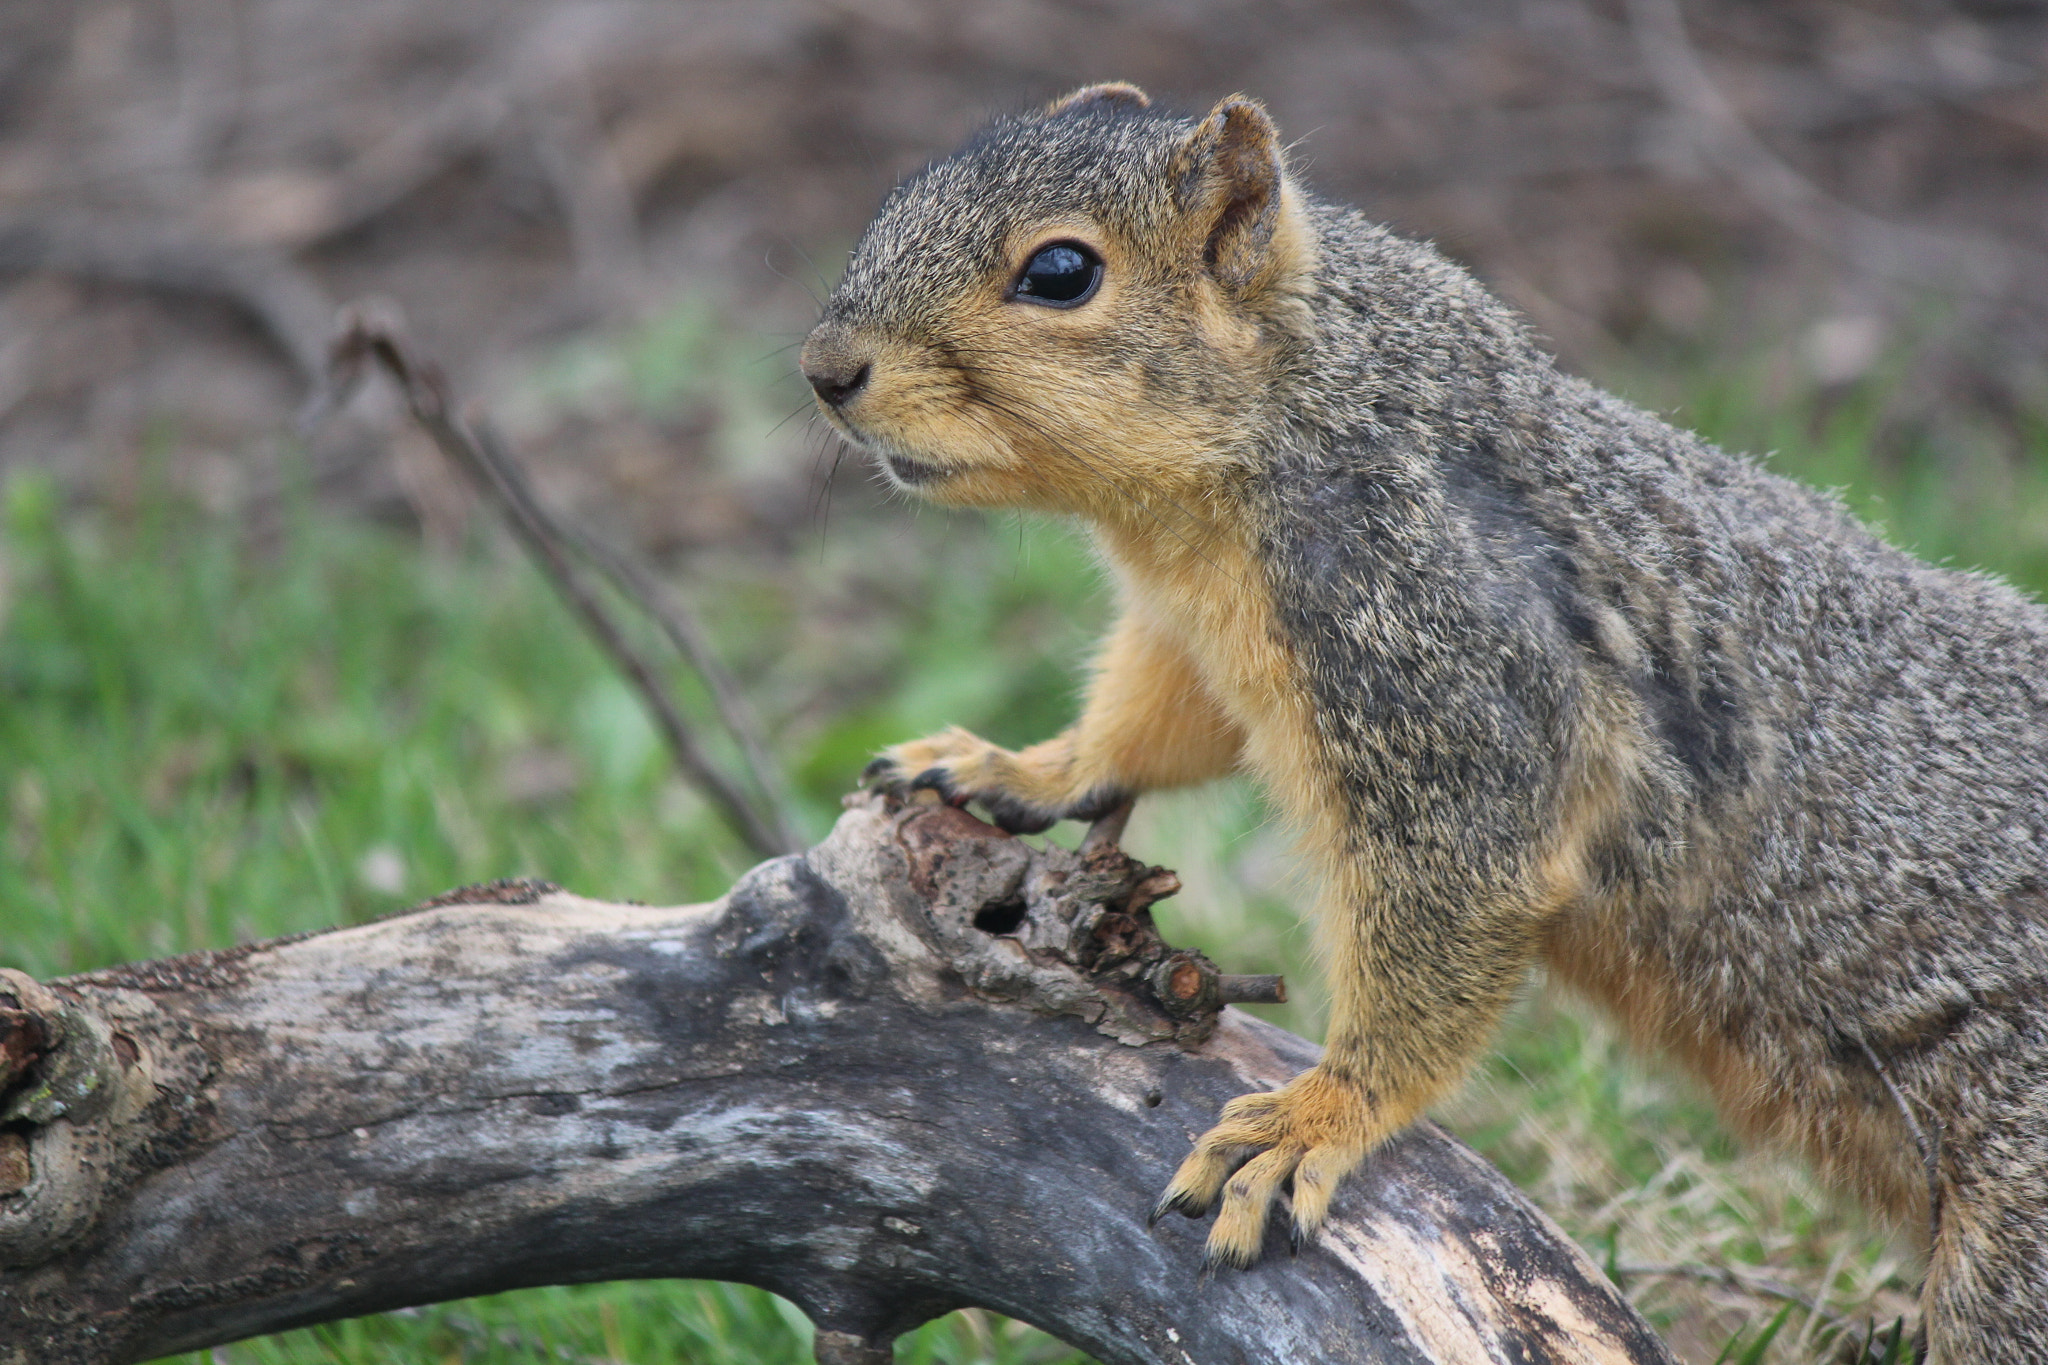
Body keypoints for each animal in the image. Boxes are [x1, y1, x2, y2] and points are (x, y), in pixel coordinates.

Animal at [799, 83, 2048, 1360]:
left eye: (1060, 272)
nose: (824, 368)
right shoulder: (1200, 643)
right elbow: (1151, 730)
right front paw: (1011, 765)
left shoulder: (1448, 658)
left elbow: (1452, 900)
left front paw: (1318, 1112)